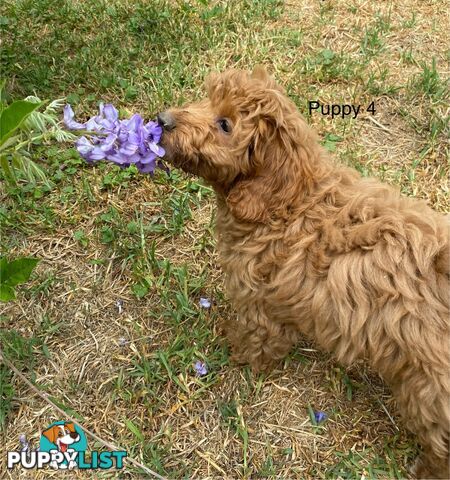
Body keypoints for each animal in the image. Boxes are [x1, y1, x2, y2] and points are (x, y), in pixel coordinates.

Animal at [158, 65, 450, 478]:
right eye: (206, 98)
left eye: (225, 124)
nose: (162, 120)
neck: (288, 200)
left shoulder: (259, 300)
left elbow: (258, 339)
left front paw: (239, 353)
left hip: (428, 386)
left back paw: (427, 468)